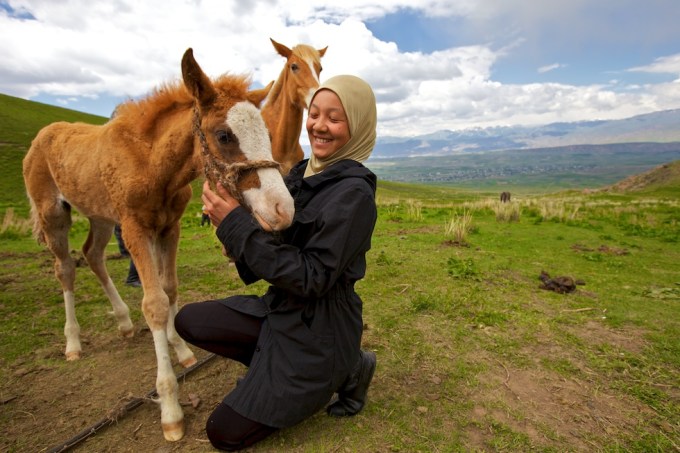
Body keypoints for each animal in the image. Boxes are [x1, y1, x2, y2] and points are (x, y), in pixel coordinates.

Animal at [22, 47, 294, 440]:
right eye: (224, 135)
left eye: (267, 134)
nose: (282, 209)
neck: (152, 164)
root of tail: (44, 135)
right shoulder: (135, 228)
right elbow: (154, 304)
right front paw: (170, 408)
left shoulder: (168, 227)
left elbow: (169, 289)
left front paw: (180, 348)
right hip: (54, 215)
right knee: (66, 268)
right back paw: (72, 342)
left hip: (101, 216)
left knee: (93, 255)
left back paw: (123, 322)